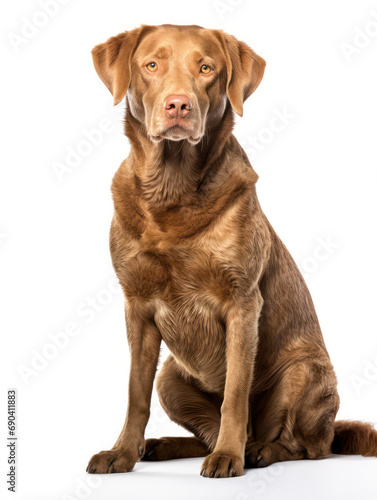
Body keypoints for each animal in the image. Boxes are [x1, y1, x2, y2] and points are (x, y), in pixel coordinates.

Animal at [86, 25, 376, 478]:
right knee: (201, 429)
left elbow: (235, 394)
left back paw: (257, 451)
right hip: (171, 376)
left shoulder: (242, 302)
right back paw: (163, 446)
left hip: (302, 370)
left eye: (206, 69)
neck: (171, 191)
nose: (178, 104)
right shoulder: (136, 305)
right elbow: (135, 394)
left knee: (306, 446)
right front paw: (122, 453)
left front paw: (228, 456)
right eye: (151, 65)